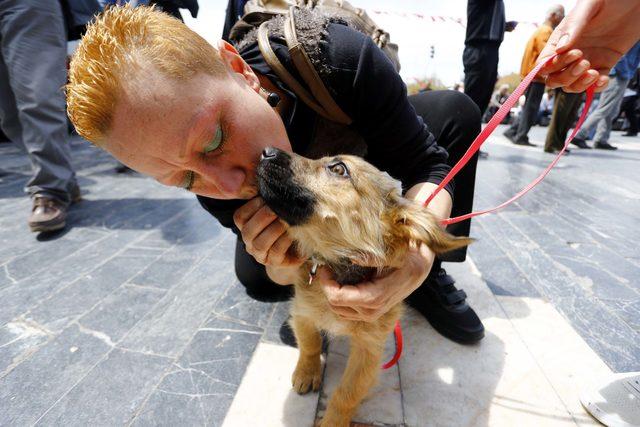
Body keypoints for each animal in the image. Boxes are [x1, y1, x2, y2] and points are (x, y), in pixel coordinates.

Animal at [255, 148, 470, 427]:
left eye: (338, 169)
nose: (266, 151)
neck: (337, 265)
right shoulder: (302, 312)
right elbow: (310, 343)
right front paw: (307, 372)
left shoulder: (369, 349)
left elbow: (346, 394)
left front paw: (332, 422)